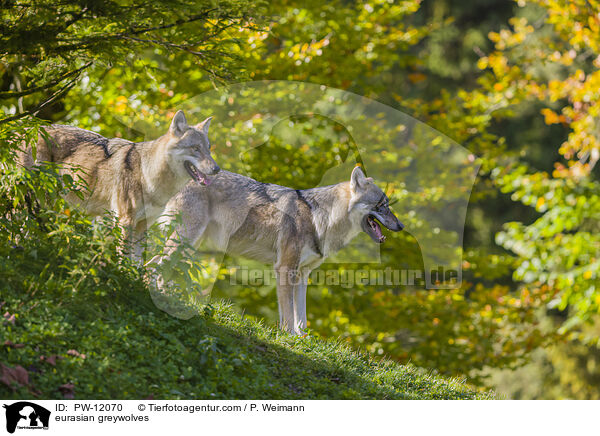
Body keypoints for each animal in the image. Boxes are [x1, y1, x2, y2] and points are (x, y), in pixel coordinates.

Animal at [18, 110, 220, 260]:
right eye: (195, 149)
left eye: (208, 149)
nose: (217, 169)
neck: (149, 176)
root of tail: (26, 129)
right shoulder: (125, 221)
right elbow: (124, 258)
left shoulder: (143, 225)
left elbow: (137, 262)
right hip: (33, 200)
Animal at [154, 166, 404, 334]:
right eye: (382, 206)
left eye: (388, 205)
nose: (401, 226)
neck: (321, 219)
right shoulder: (285, 268)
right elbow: (288, 315)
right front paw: (289, 337)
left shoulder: (302, 275)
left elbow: (300, 315)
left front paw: (302, 339)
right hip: (184, 241)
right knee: (158, 268)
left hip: (186, 245)